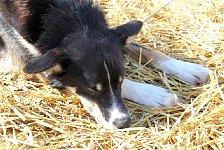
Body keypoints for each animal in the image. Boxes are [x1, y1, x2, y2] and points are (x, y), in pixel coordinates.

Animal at [0, 0, 210, 129]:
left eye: (121, 80)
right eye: (91, 88)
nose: (123, 123)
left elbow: (142, 49)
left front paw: (188, 69)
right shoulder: (31, 60)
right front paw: (154, 94)